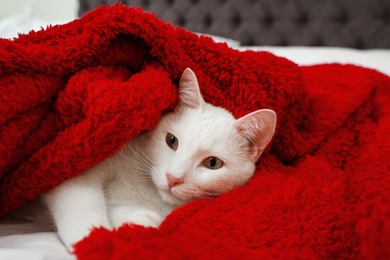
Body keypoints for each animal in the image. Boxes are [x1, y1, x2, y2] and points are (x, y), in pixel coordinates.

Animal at [41, 68, 276, 250]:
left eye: (213, 163)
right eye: (171, 141)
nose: (173, 178)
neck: (151, 192)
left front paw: (139, 225)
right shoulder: (77, 164)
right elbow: (82, 204)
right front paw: (94, 240)